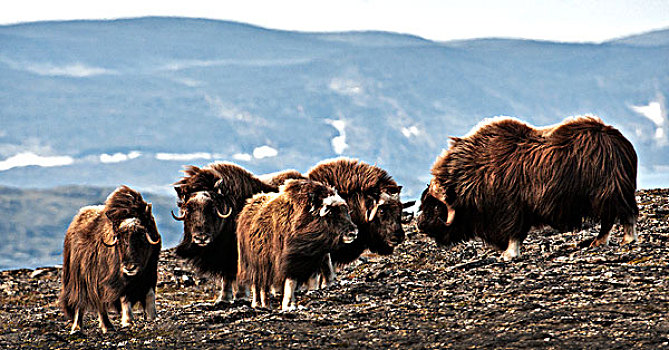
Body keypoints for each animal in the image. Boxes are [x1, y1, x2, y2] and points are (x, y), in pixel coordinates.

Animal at [60, 186, 162, 334]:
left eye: (142, 235)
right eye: (119, 238)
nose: (129, 267)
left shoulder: (150, 272)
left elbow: (150, 295)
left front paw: (152, 317)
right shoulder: (118, 278)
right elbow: (125, 296)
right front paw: (128, 321)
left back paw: (107, 327)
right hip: (80, 279)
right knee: (83, 303)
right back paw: (80, 328)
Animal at [174, 163, 278, 302]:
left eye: (212, 208)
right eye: (188, 209)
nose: (201, 238)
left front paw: (240, 295)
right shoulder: (224, 255)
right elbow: (226, 275)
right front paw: (224, 298)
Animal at [237, 179, 358, 310]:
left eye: (346, 211)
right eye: (331, 212)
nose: (353, 232)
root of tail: (247, 206)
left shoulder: (311, 262)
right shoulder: (290, 262)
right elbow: (290, 282)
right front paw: (289, 305)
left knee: (264, 285)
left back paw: (265, 304)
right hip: (254, 264)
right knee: (258, 285)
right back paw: (259, 304)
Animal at [418, 116, 636, 262]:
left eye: (435, 206)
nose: (420, 225)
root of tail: (619, 141)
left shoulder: (510, 209)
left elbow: (514, 232)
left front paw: (508, 255)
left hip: (608, 194)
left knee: (619, 216)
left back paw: (620, 240)